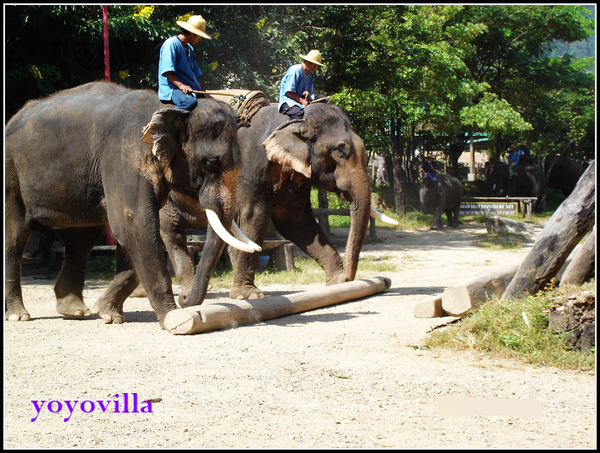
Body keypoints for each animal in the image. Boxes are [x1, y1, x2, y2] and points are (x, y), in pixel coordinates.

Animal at [4, 82, 258, 328]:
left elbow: (130, 236)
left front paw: (109, 314)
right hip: (11, 174)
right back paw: (19, 315)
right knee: (15, 238)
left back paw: (74, 310)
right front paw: (172, 317)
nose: (184, 298)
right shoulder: (123, 156)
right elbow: (134, 224)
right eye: (211, 163)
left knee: (81, 240)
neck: (167, 108)